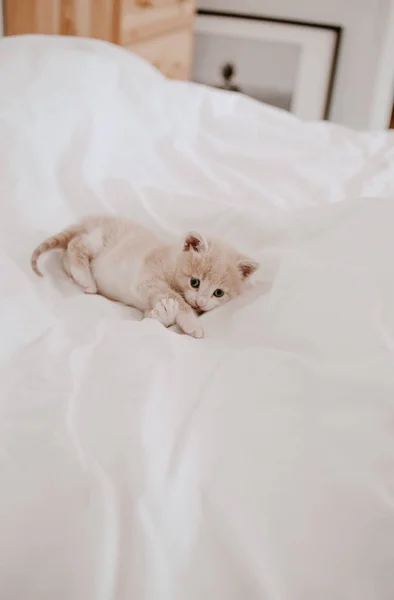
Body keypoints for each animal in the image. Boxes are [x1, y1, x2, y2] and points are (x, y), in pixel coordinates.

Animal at [30, 216, 258, 338]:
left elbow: (151, 319)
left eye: (218, 293)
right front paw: (192, 324)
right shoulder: (148, 279)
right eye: (195, 282)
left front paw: (164, 314)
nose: (200, 303)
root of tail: (88, 219)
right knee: (75, 245)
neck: (172, 259)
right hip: (97, 239)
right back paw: (84, 277)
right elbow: (177, 299)